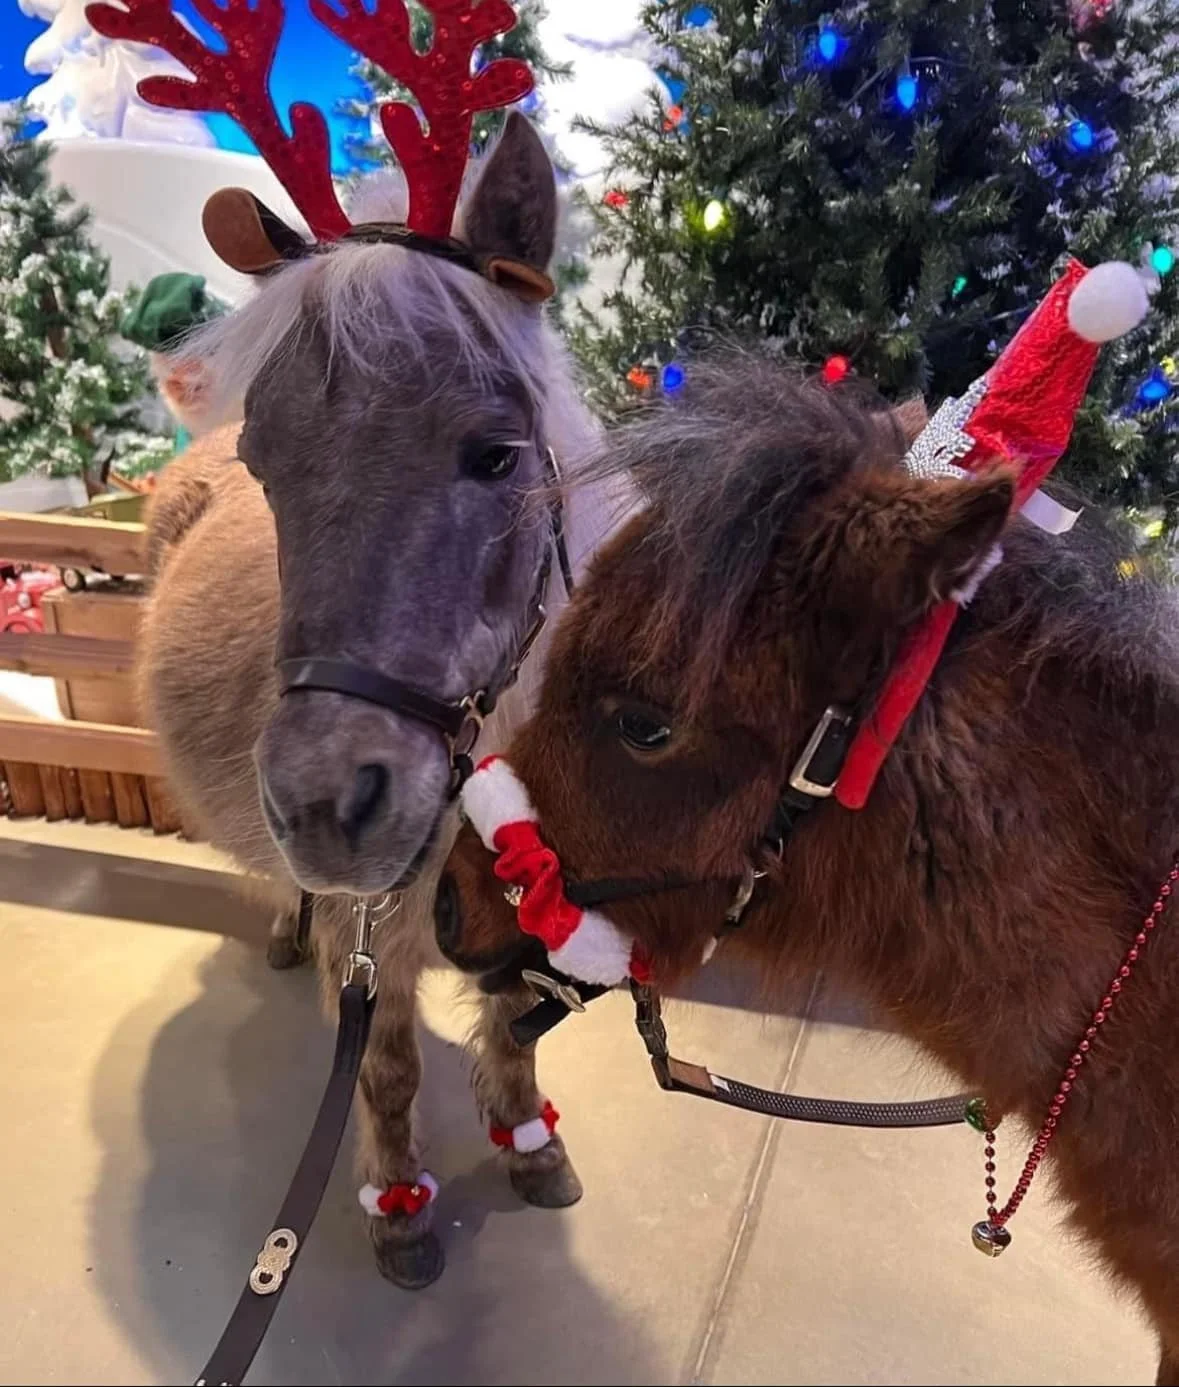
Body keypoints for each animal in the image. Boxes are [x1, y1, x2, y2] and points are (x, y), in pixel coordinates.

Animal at [140, 114, 625, 1289]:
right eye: (266, 463)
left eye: (496, 453)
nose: (325, 805)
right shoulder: (384, 931)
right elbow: (390, 1068)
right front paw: (401, 1210)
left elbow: (512, 1029)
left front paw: (530, 1145)